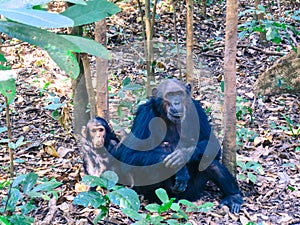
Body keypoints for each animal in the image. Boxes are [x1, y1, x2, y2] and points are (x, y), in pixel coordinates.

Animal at [116, 78, 243, 213]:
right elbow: (131, 155)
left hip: (194, 190)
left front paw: (182, 156)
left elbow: (212, 144)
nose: (176, 102)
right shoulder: (144, 114)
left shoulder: (197, 109)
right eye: (170, 95)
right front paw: (179, 168)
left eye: (179, 94)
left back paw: (233, 196)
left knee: (210, 162)